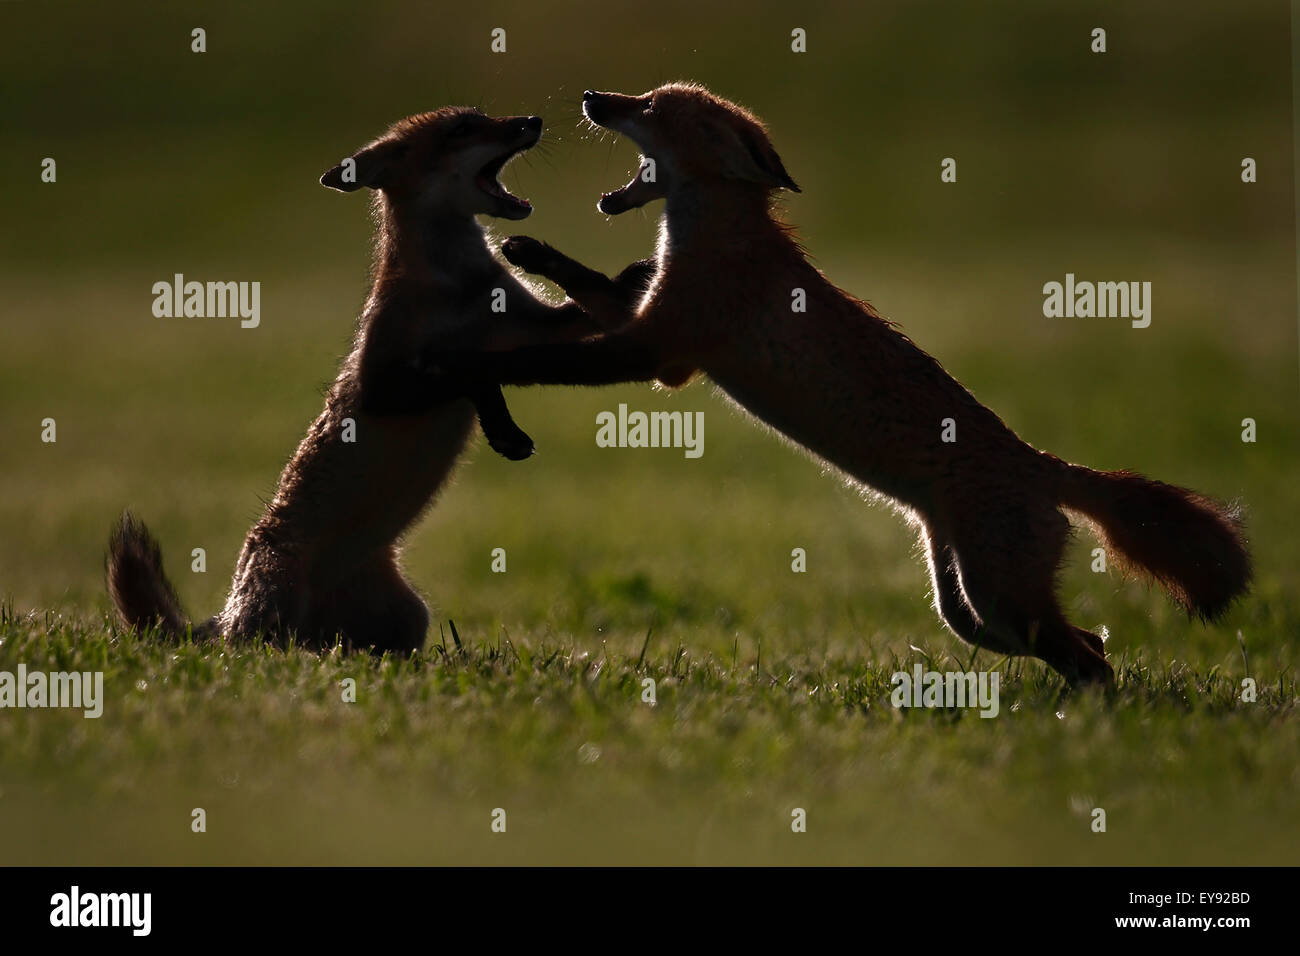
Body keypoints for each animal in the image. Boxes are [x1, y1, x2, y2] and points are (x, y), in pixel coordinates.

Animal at [423, 80, 1248, 681]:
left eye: (649, 107)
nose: (594, 96)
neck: (717, 236)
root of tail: (1041, 464)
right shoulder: (661, 330)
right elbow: (589, 285)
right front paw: (531, 252)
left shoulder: (660, 351)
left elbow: (538, 361)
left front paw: (468, 364)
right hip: (973, 612)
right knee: (1093, 645)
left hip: (1000, 598)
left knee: (1089, 659)